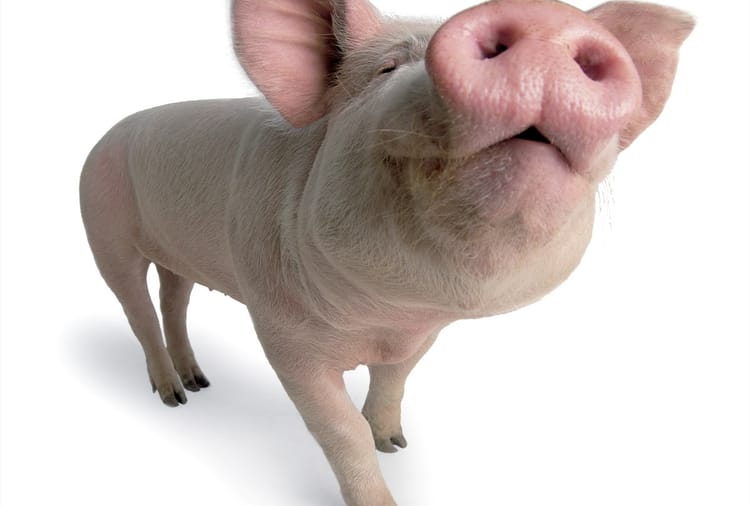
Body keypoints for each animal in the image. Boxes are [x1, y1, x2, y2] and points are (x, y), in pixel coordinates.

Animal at [79, 0, 694, 504]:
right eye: (387, 68)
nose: (544, 18)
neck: (383, 319)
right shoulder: (280, 331)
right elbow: (337, 427)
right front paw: (380, 495)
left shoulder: (420, 335)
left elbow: (394, 382)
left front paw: (395, 443)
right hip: (102, 225)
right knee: (138, 310)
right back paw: (173, 397)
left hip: (172, 251)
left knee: (175, 297)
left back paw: (199, 381)